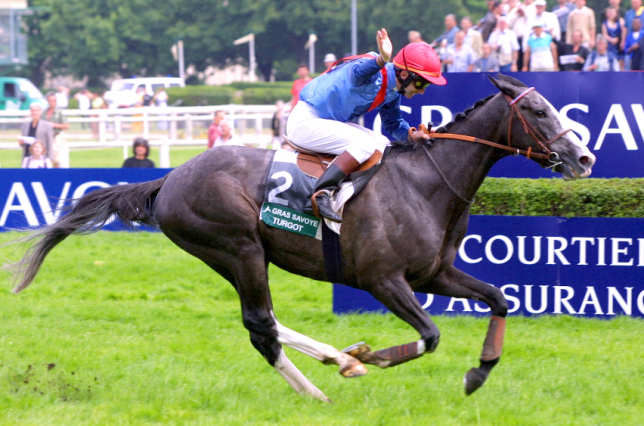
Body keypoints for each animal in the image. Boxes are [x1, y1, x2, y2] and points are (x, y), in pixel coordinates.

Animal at [7, 75, 596, 402]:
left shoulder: (435, 273)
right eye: (538, 111)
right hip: (238, 248)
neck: (426, 183)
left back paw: (337, 359)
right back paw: (322, 389)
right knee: (260, 327)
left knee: (266, 322)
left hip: (236, 256)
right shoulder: (384, 280)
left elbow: (498, 299)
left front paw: (478, 373)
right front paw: (375, 357)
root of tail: (170, 178)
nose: (584, 157)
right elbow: (429, 335)